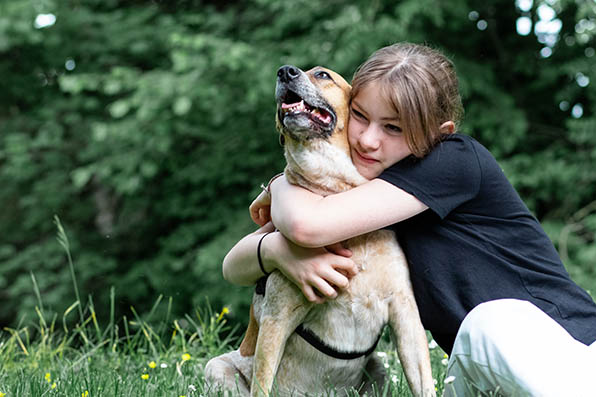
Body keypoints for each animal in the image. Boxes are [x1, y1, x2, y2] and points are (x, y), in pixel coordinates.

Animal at [205, 65, 434, 396]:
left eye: (323, 75)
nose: (284, 70)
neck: (336, 195)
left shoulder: (404, 310)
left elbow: (424, 382)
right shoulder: (277, 316)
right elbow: (262, 382)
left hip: (379, 371)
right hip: (217, 368)